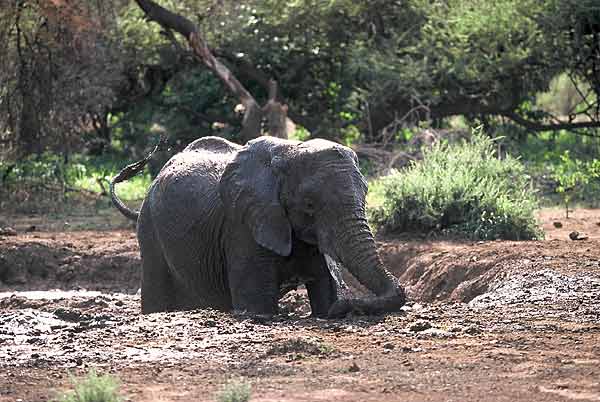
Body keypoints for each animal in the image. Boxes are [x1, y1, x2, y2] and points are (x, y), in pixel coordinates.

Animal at [110, 135, 406, 318]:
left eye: (366, 194)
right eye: (309, 205)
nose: (348, 305)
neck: (288, 152)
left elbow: (325, 287)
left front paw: (329, 308)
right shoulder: (242, 225)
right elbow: (257, 302)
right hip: (149, 230)